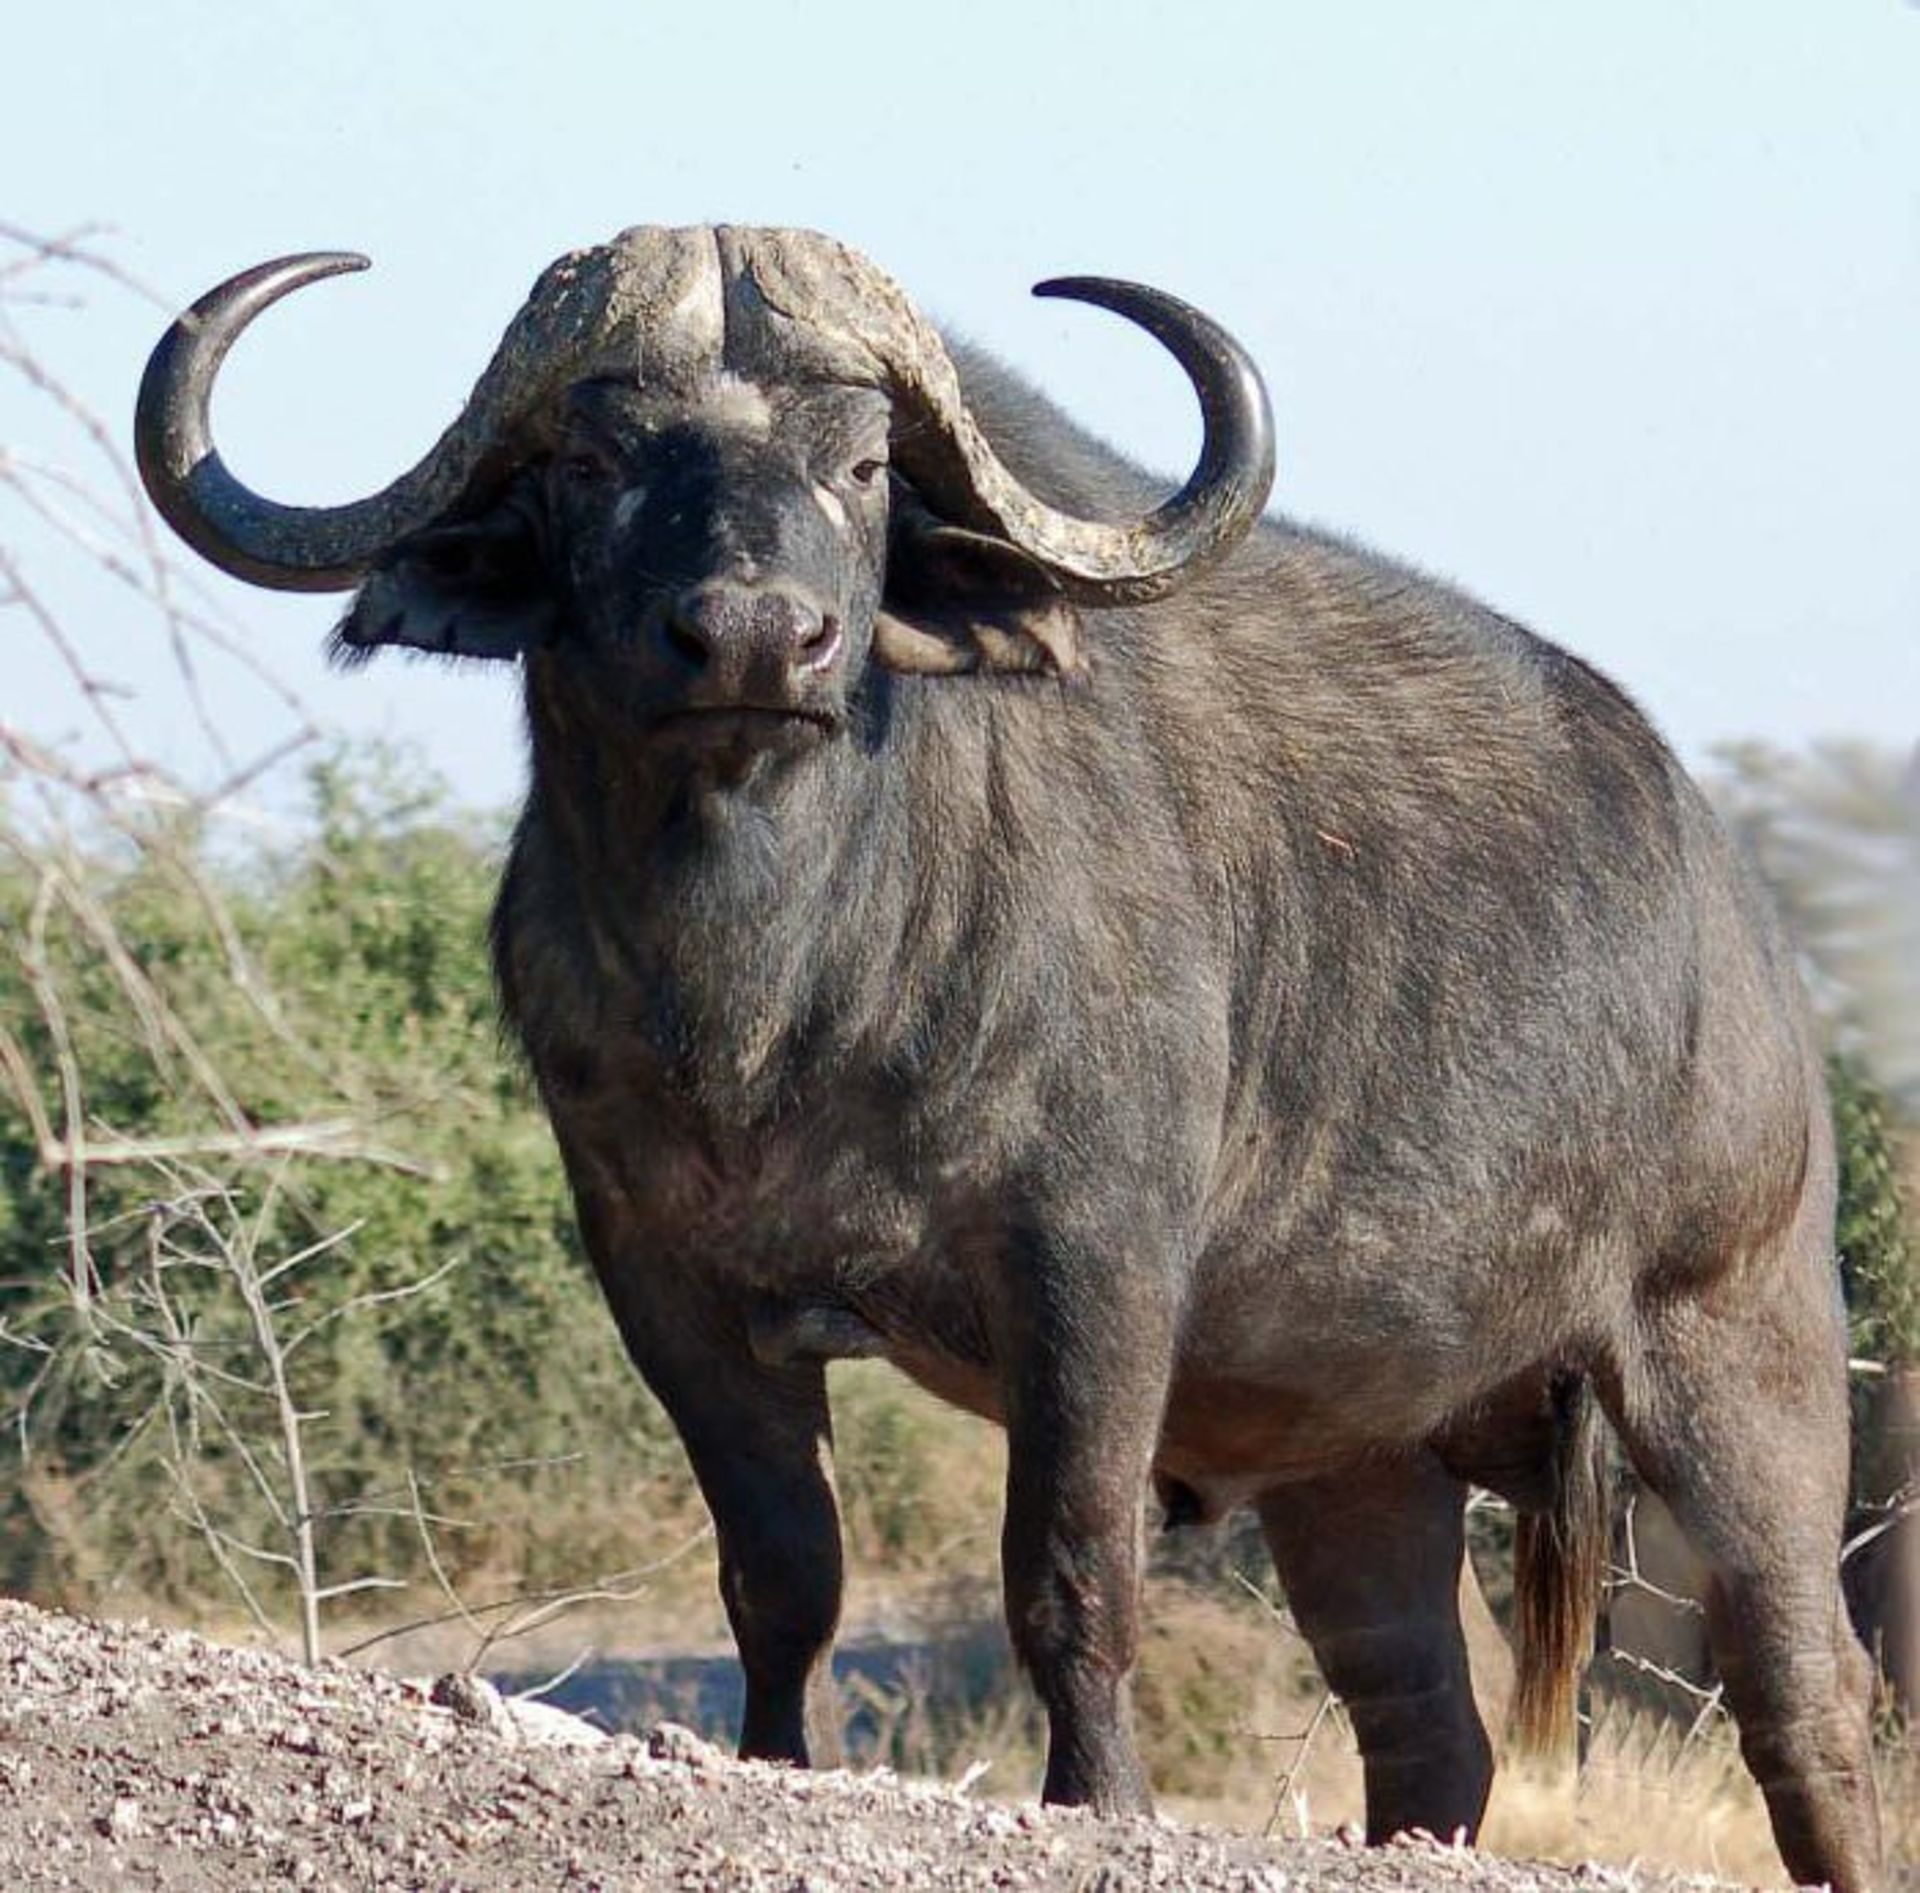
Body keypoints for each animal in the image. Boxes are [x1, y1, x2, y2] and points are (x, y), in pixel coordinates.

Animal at [136, 226, 1880, 1889]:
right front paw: (776, 1756)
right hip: (1356, 1455)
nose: (755, 638)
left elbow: (1068, 1565)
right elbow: (781, 1575)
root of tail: (1742, 926)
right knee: (1425, 1720)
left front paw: (1098, 1796)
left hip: (1741, 1351)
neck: (778, 986)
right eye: (590, 462)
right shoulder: (666, 1279)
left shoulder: (1092, 1269)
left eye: (861, 466)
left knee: (1808, 1690)